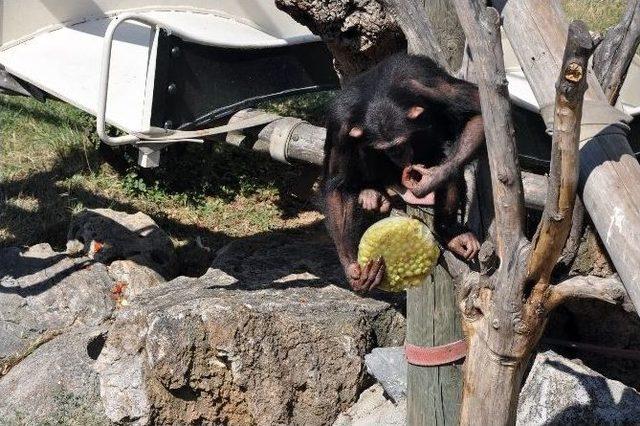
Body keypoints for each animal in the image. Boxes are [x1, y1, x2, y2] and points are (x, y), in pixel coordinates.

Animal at [322, 52, 482, 292]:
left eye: (401, 142)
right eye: (386, 148)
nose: (397, 153)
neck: (378, 96)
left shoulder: (434, 88)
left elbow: (477, 113)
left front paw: (433, 179)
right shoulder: (340, 125)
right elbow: (338, 184)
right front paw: (351, 266)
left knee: (450, 154)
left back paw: (450, 231)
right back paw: (371, 192)